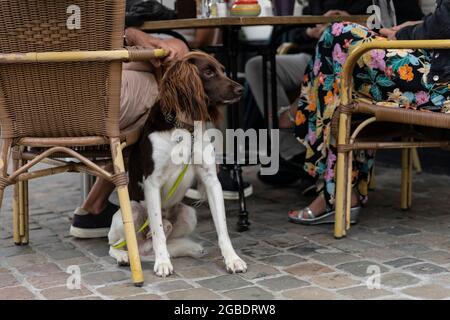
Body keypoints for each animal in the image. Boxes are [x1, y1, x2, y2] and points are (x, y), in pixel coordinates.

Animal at [107, 51, 248, 276]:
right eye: (208, 72)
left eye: (222, 69)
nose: (240, 89)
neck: (184, 128)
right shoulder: (152, 183)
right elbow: (157, 230)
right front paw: (163, 263)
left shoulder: (211, 181)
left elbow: (223, 227)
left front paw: (232, 259)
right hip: (131, 210)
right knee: (116, 244)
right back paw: (124, 256)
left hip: (189, 213)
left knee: (162, 236)